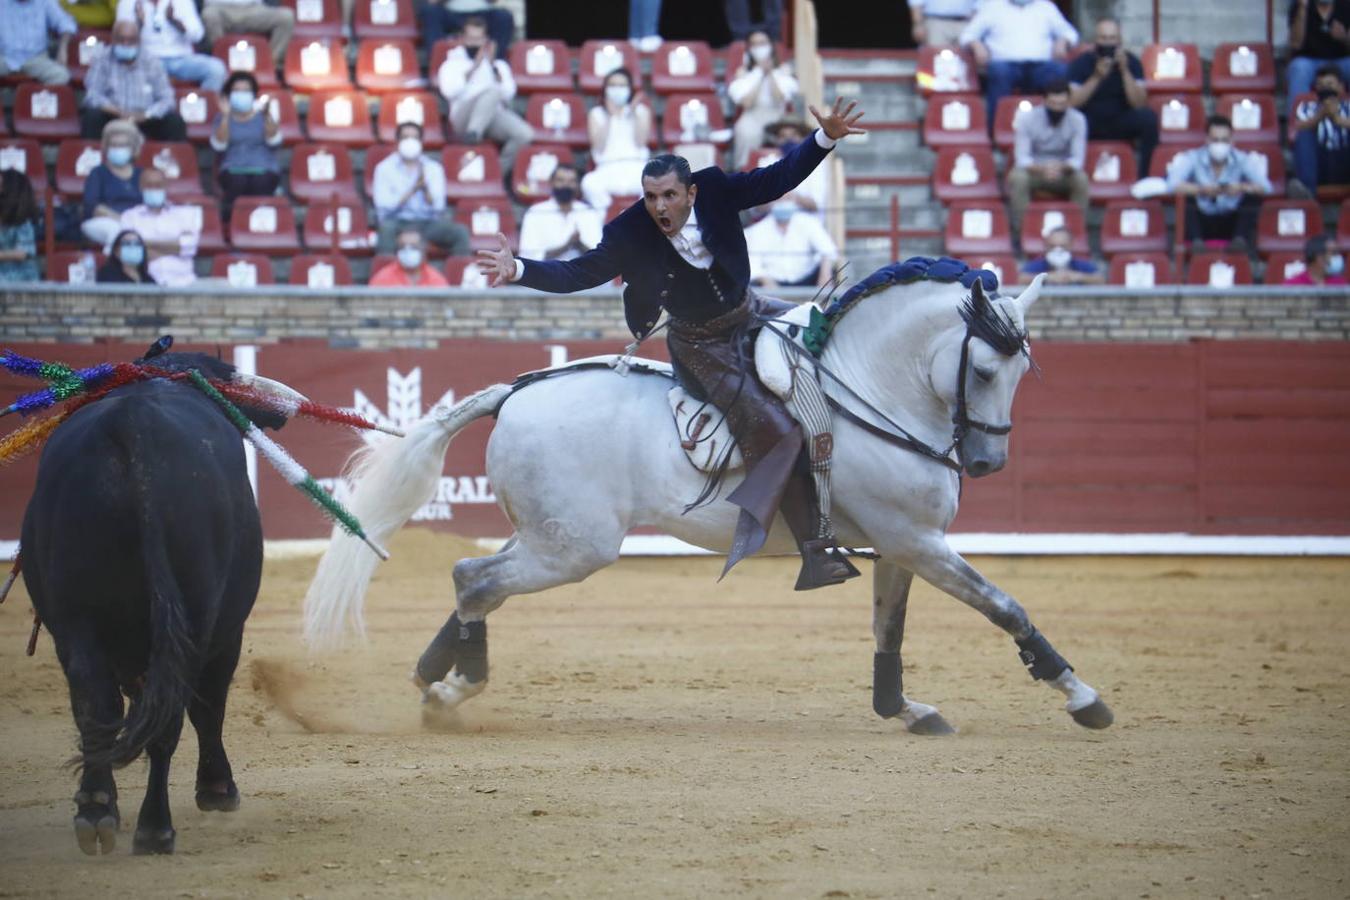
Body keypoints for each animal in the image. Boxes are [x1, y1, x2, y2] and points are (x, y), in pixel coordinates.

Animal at [18, 350, 282, 852]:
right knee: (169, 715)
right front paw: (218, 789)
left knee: (95, 703)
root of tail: (130, 423)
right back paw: (155, 828)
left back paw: (97, 808)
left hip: (77, 615)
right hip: (194, 616)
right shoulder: (227, 635)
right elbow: (209, 706)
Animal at [309, 265, 1117, 734]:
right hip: (575, 547)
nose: (985, 461)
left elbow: (890, 631)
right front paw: (1083, 697)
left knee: (475, 582)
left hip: (548, 534)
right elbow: (1005, 605)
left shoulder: (902, 545)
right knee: (475, 580)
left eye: (1024, 370)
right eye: (982, 369)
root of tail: (516, 390)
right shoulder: (918, 541)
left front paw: (902, 708)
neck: (869, 389)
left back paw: (433, 679)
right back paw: (451, 691)